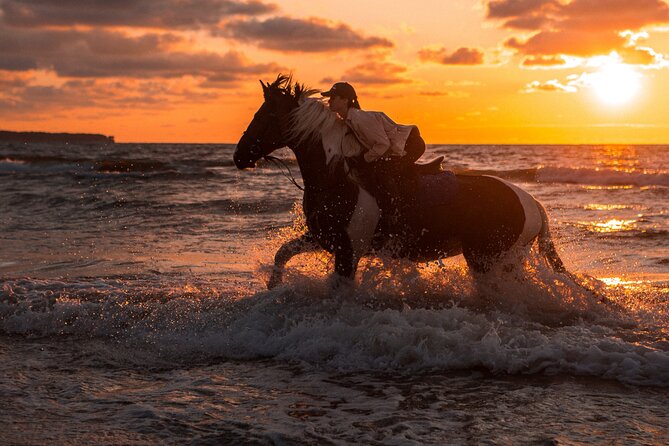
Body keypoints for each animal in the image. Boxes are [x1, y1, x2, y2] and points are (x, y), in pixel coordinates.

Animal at [234, 75, 572, 290]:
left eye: (265, 116)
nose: (239, 156)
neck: (336, 177)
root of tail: (532, 203)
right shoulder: (323, 238)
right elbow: (283, 253)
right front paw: (273, 287)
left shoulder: (348, 252)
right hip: (509, 259)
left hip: (487, 260)